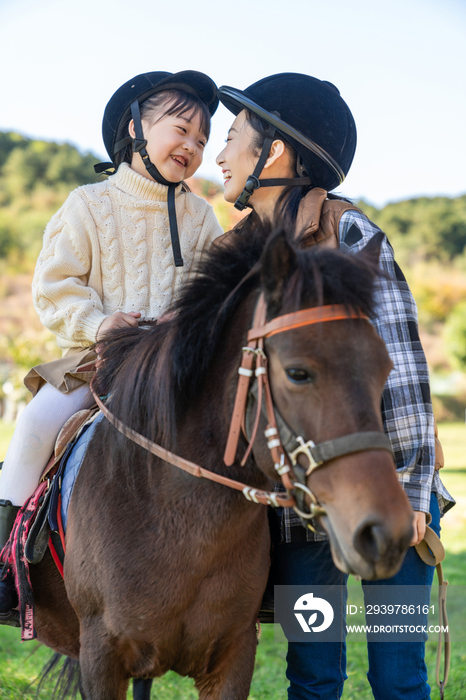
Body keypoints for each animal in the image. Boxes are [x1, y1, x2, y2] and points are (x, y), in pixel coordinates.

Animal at [30, 221, 412, 696]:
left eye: (384, 369)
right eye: (297, 373)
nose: (386, 532)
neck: (175, 521)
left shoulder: (233, 654)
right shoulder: (100, 659)